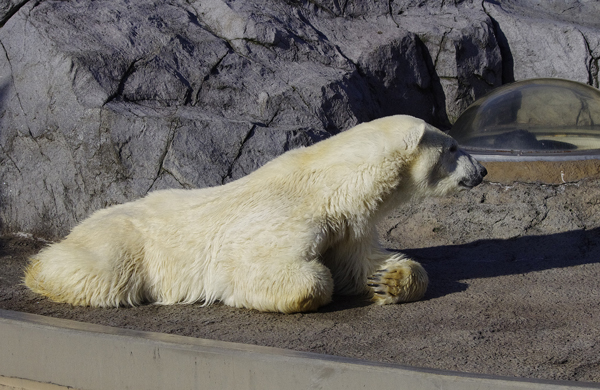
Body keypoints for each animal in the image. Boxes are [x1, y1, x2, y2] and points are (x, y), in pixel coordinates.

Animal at [24, 115, 488, 314]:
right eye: (453, 147)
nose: (482, 171)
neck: (331, 184)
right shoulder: (285, 218)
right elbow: (262, 266)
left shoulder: (348, 225)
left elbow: (359, 263)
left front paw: (386, 280)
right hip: (124, 241)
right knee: (100, 272)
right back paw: (40, 271)